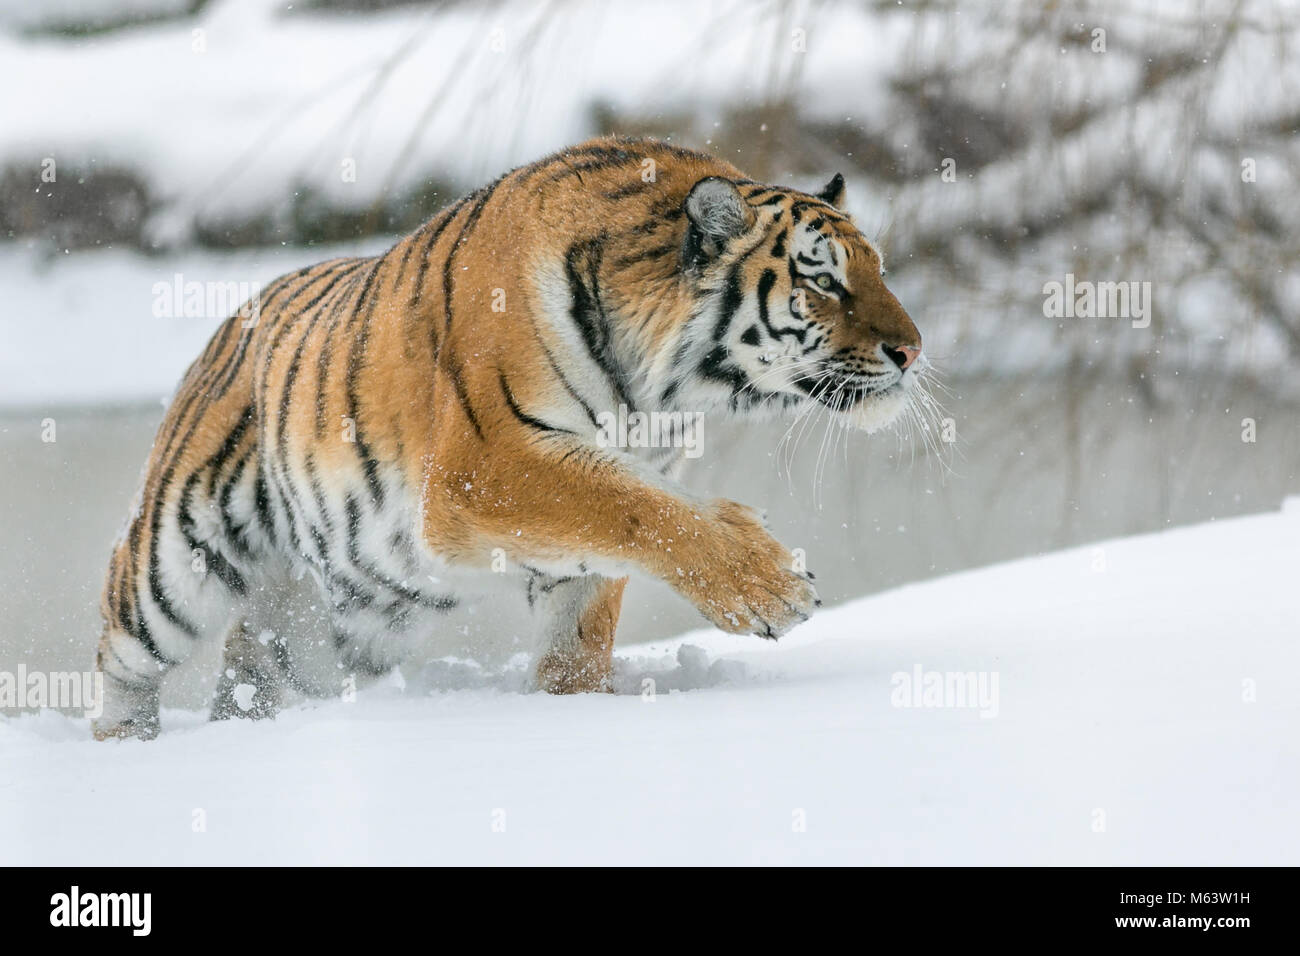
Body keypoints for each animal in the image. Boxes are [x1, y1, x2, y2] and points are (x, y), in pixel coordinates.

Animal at [94, 136, 925, 738]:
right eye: (823, 282)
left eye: (879, 269)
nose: (913, 351)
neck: (662, 391)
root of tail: (234, 318)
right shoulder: (487, 464)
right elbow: (637, 509)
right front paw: (771, 585)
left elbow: (586, 613)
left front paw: (571, 704)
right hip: (176, 560)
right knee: (122, 651)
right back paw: (127, 748)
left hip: (345, 615)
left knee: (254, 655)